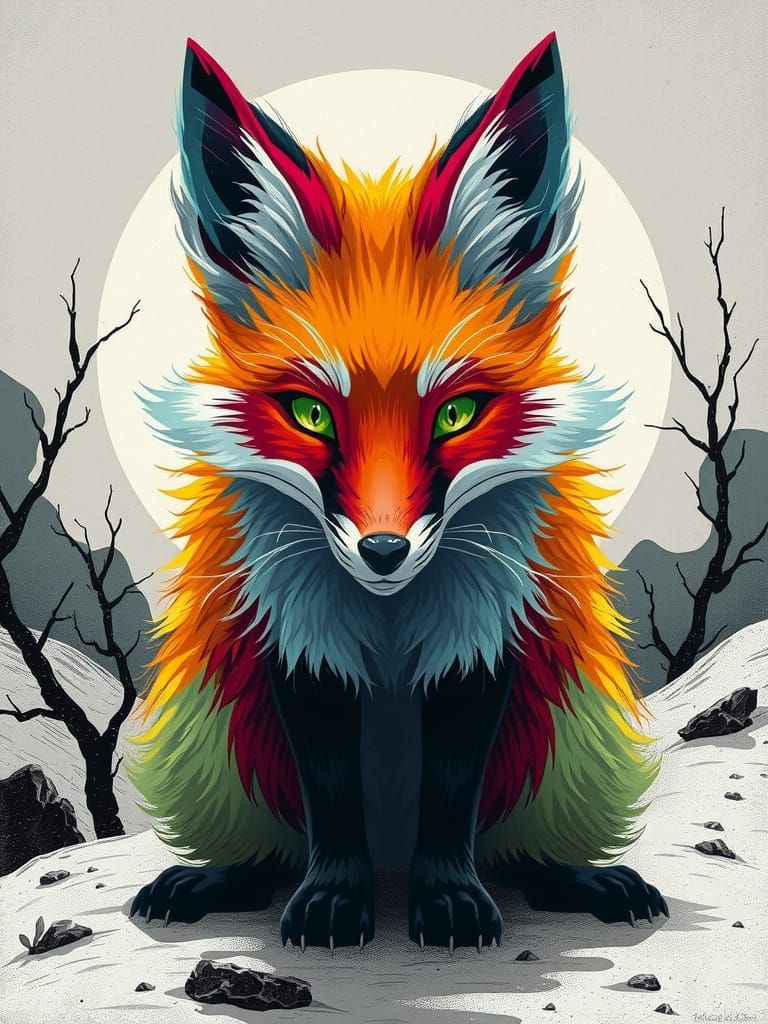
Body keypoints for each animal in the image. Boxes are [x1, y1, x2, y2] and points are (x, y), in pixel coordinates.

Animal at [128, 33, 667, 950]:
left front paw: (447, 899)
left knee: (520, 845)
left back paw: (576, 877)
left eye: (455, 413)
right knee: (270, 842)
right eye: (311, 413)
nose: (384, 550)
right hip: (221, 728)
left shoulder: (482, 638)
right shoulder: (298, 640)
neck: (386, 617)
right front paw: (333, 901)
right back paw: (221, 877)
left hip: (563, 728)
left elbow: (451, 801)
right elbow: (331, 800)